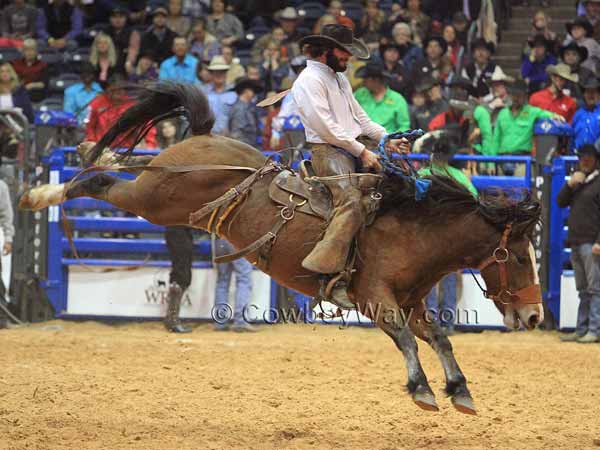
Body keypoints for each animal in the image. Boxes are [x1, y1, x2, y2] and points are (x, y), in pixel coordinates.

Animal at [18, 83, 544, 414]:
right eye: (520, 257)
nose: (536, 316)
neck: (413, 228)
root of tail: (205, 137)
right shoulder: (375, 297)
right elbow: (406, 339)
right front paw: (422, 390)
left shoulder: (413, 301)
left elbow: (439, 337)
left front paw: (460, 391)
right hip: (155, 200)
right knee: (100, 182)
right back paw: (39, 193)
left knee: (110, 171)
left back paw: (93, 153)